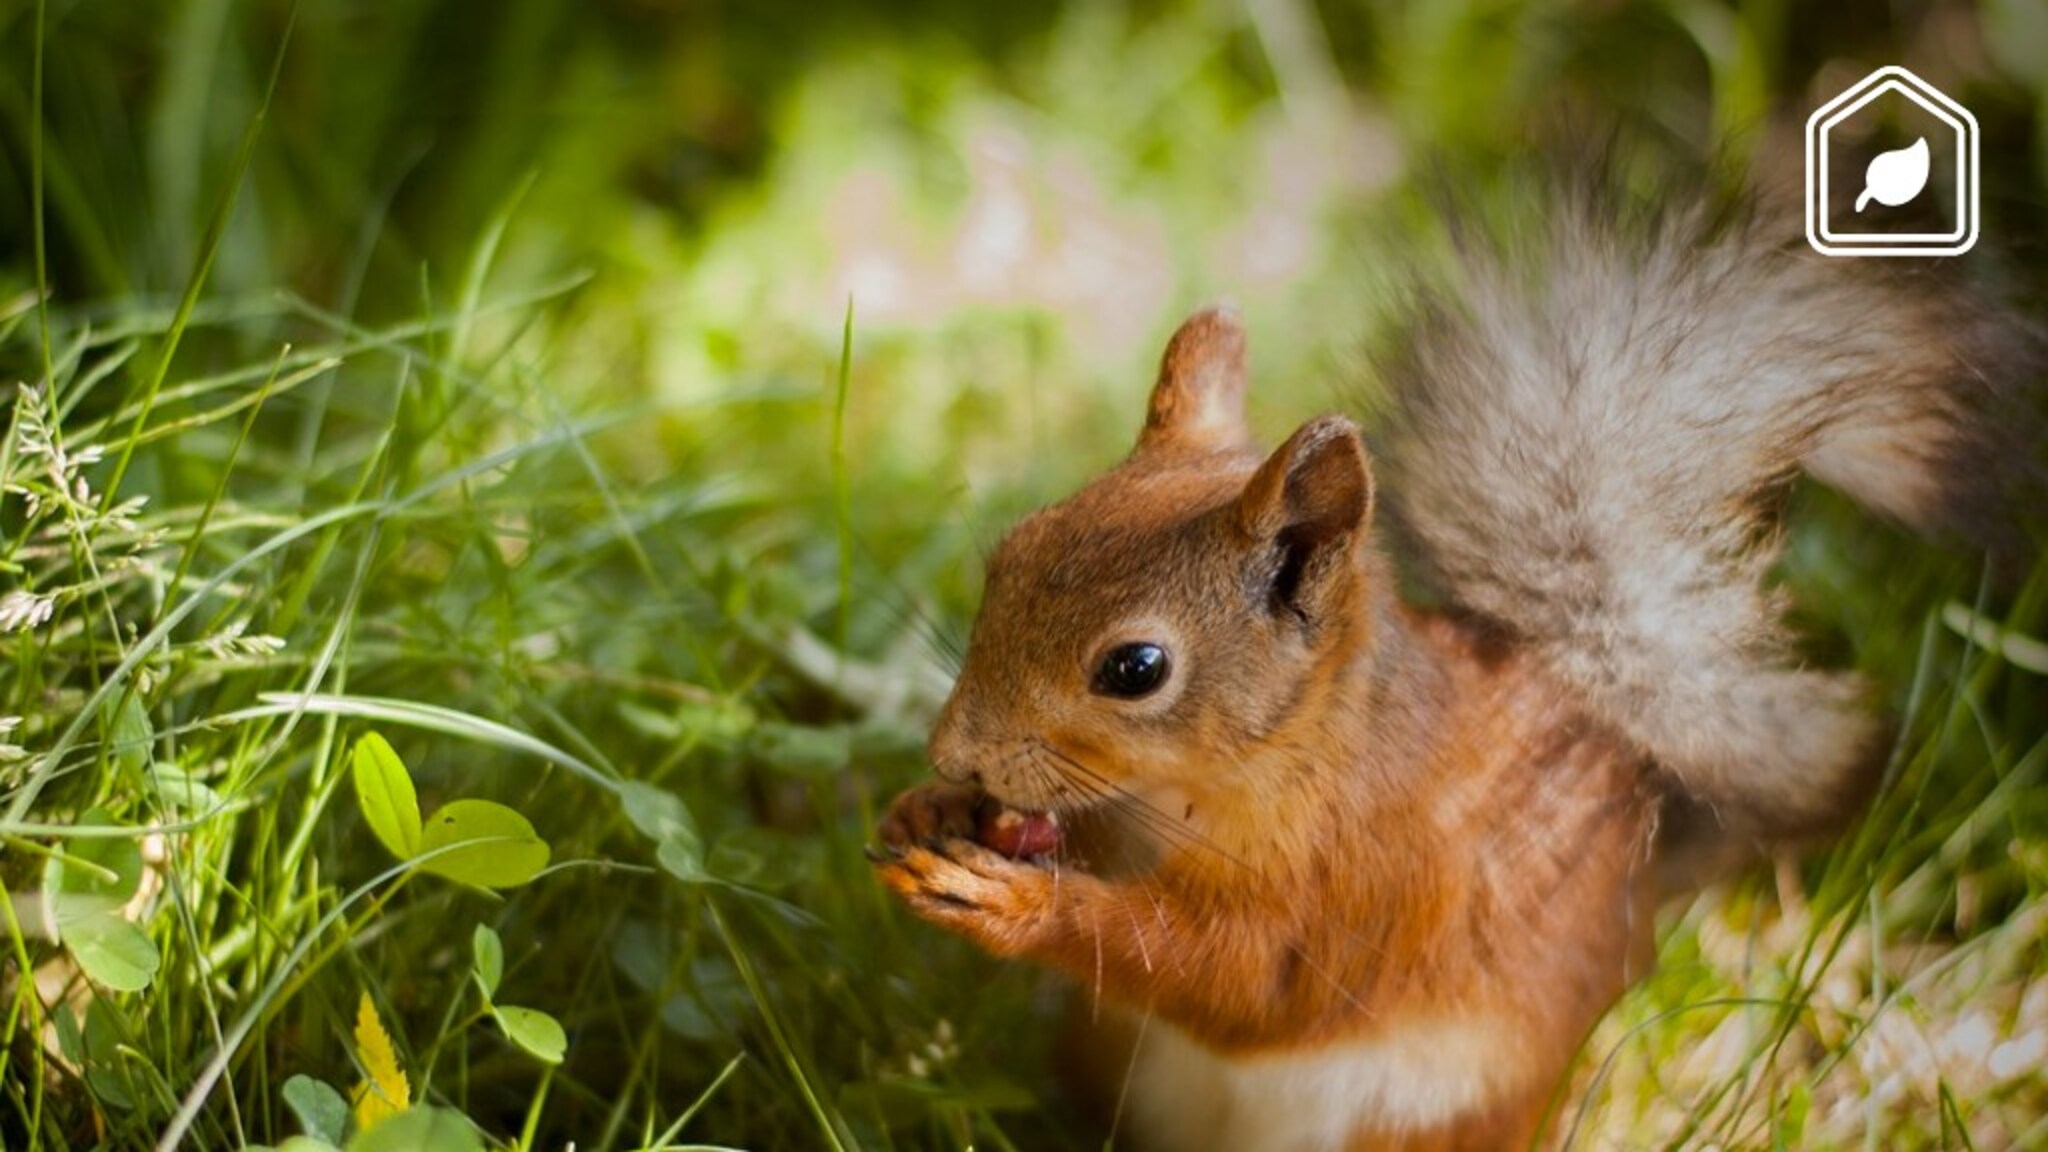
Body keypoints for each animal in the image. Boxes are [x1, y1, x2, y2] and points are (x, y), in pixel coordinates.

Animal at [872, 183, 2039, 1139]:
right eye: (1013, 551)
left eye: (1134, 669)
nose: (955, 749)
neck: (1222, 780)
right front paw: (928, 811)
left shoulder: (1369, 881)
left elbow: (1241, 978)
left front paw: (1025, 906)